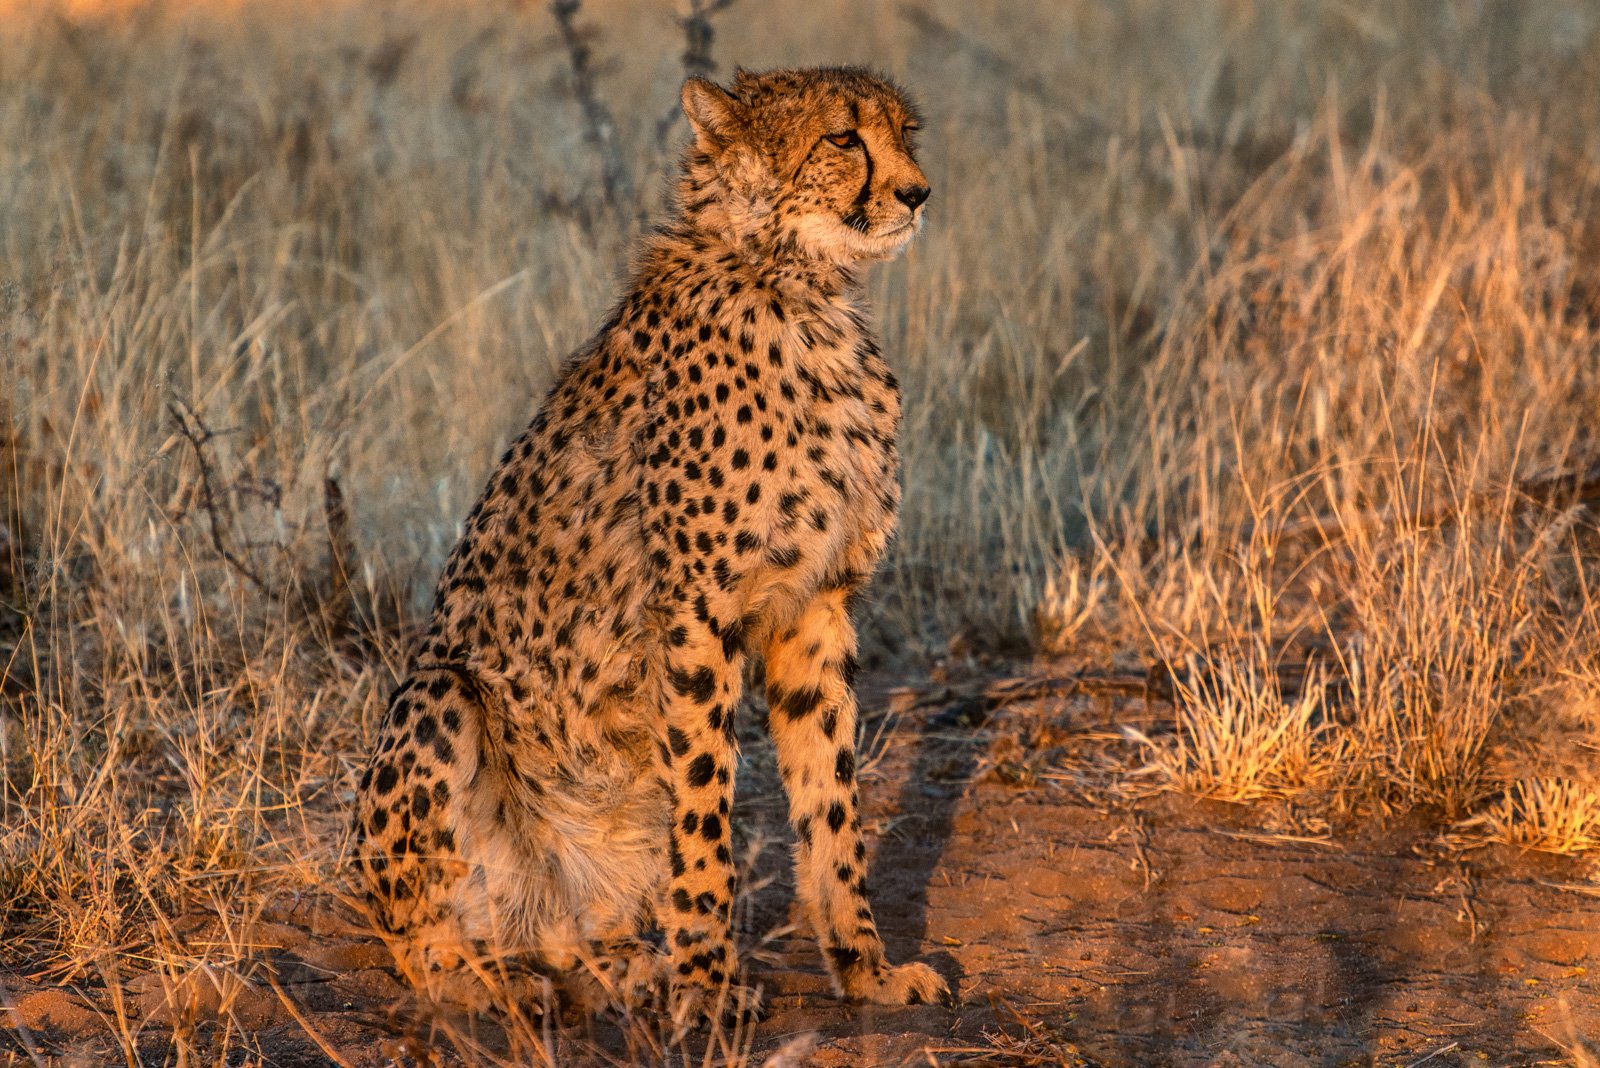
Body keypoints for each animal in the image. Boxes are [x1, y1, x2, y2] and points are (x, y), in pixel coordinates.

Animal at [351, 65, 946, 1018]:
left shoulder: (816, 606)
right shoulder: (695, 614)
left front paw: (867, 969)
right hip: (440, 694)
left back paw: (628, 965)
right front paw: (711, 988)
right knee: (418, 933)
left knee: (574, 934)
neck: (800, 288)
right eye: (842, 138)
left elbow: (832, 799)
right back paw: (486, 982)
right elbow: (706, 811)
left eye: (904, 133)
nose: (918, 193)